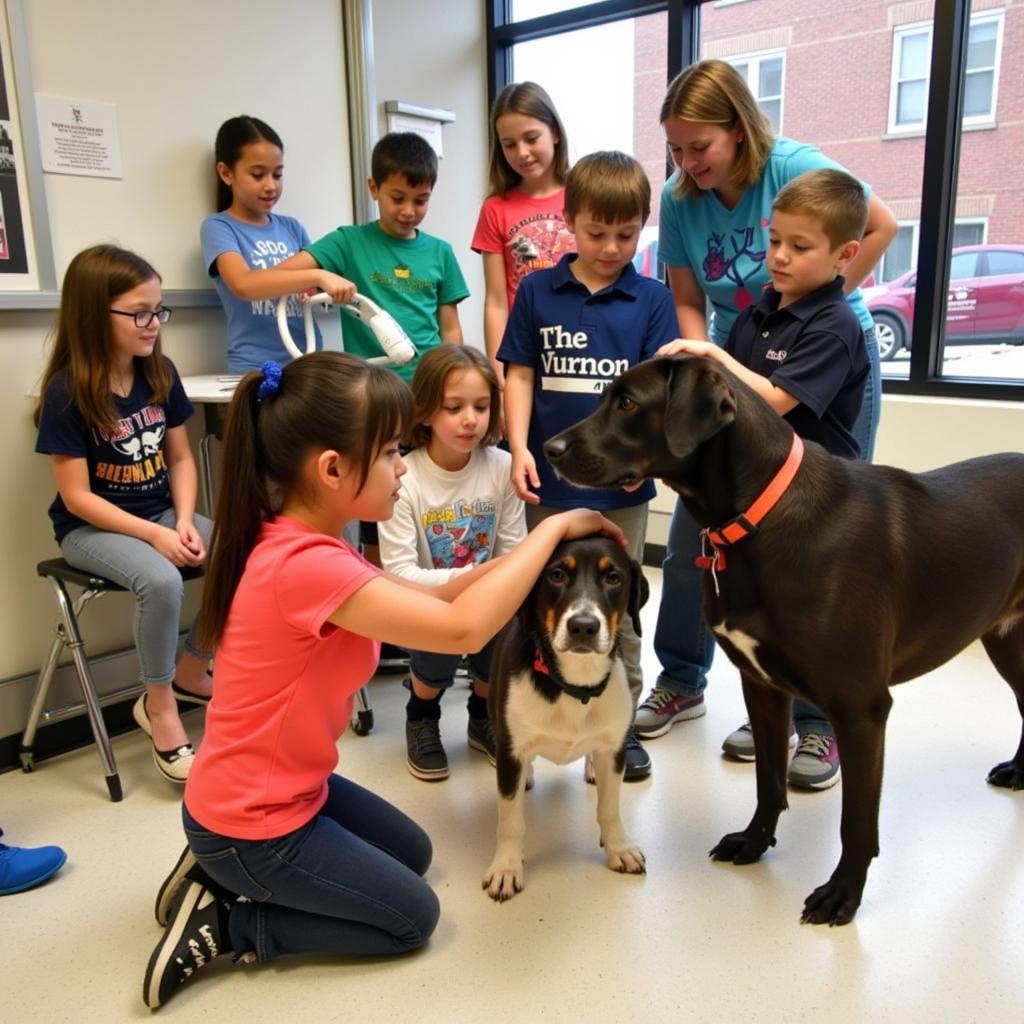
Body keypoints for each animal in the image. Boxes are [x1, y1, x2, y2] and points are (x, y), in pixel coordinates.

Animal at [485, 532, 647, 901]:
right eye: (557, 575)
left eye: (613, 578)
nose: (583, 626)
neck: (574, 685)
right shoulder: (511, 749)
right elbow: (511, 820)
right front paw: (507, 866)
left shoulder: (613, 749)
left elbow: (609, 808)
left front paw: (618, 847)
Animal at [540, 356, 1019, 925]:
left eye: (628, 403)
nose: (548, 449)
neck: (758, 516)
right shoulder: (763, 688)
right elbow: (768, 781)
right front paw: (754, 842)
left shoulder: (861, 709)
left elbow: (856, 822)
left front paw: (843, 893)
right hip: (1008, 642)